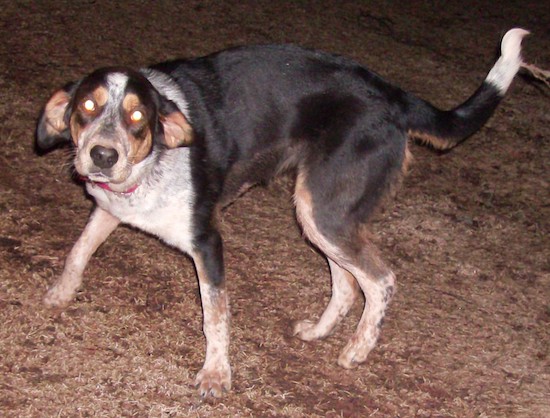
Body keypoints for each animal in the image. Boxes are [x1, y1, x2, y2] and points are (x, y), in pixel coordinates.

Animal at [36, 28, 528, 396]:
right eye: (87, 106)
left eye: (138, 117)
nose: (103, 155)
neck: (151, 162)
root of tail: (394, 95)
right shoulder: (108, 208)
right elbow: (79, 250)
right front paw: (60, 294)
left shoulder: (207, 243)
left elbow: (215, 317)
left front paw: (217, 375)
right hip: (317, 214)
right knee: (348, 284)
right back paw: (319, 332)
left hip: (322, 210)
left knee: (381, 281)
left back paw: (357, 350)